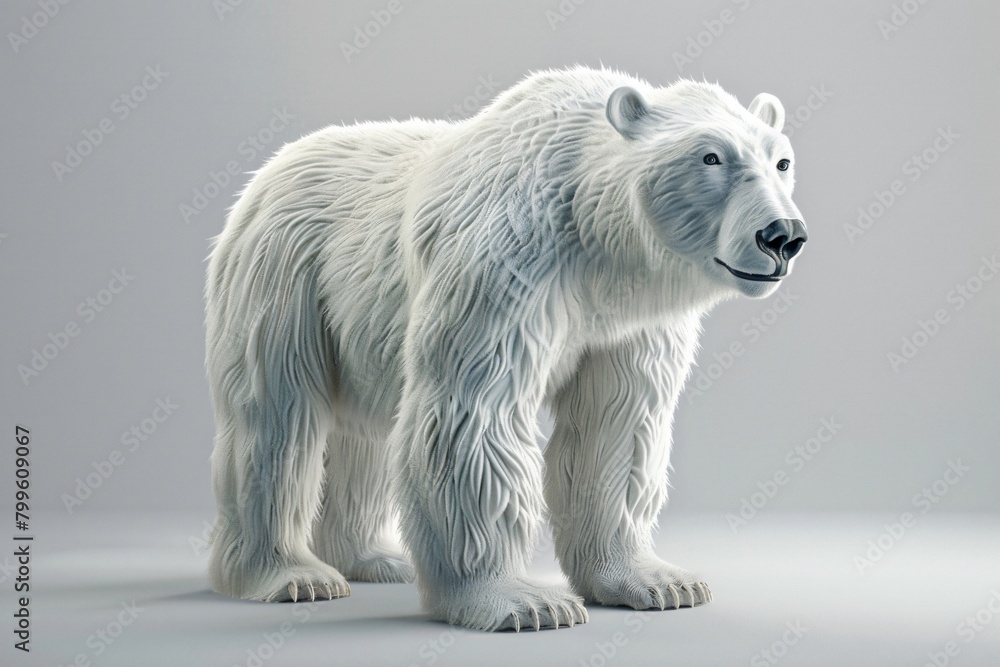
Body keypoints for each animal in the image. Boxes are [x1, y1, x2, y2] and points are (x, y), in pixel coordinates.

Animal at [204, 66, 807, 632]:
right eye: (710, 156)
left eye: (781, 161)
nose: (782, 235)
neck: (595, 238)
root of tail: (272, 168)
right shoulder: (508, 260)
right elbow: (473, 412)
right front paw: (525, 601)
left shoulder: (629, 319)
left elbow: (616, 425)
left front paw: (660, 582)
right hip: (285, 272)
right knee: (277, 419)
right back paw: (292, 575)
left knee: (366, 432)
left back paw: (376, 558)